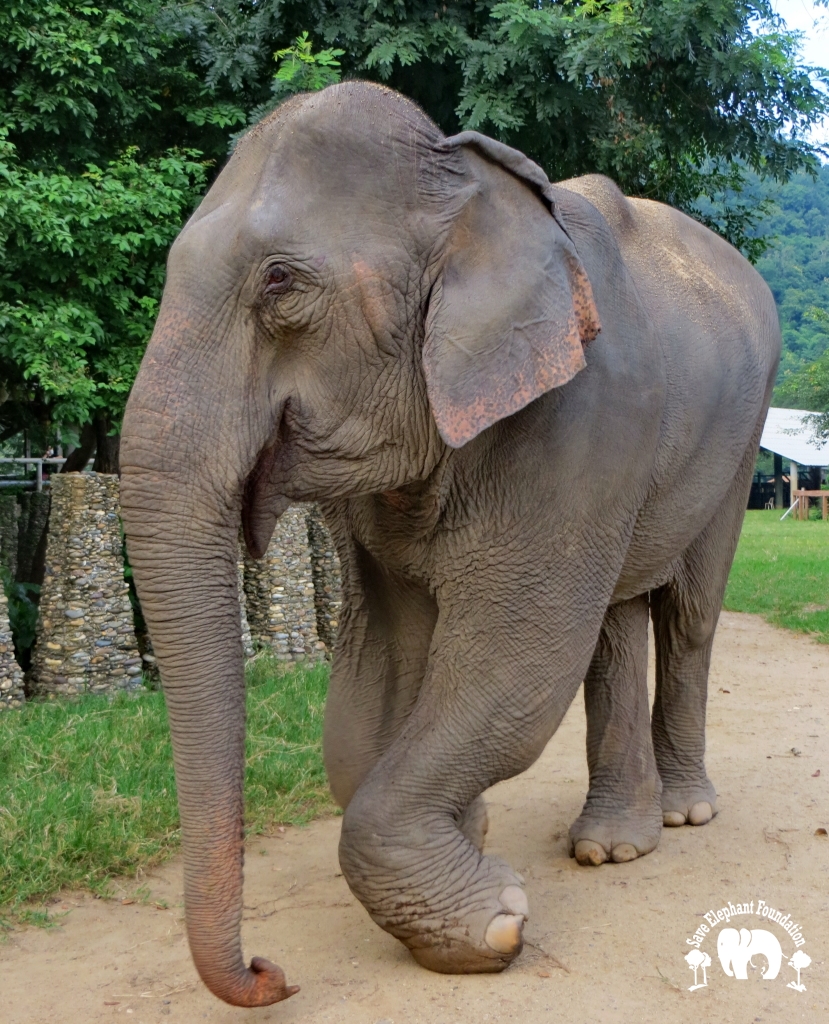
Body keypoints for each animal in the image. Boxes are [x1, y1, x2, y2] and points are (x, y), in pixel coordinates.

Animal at [119, 81, 777, 1007]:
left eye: (280, 283)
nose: (268, 975)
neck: (466, 182)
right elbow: (376, 682)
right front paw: (472, 841)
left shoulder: (580, 412)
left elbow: (515, 660)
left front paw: (490, 927)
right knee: (612, 620)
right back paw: (612, 844)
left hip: (739, 442)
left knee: (686, 616)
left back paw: (682, 815)